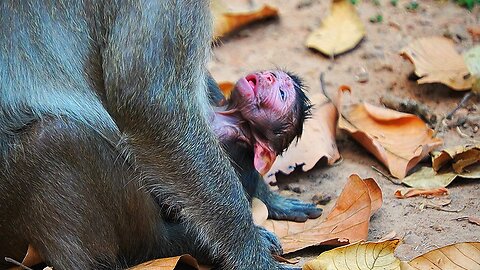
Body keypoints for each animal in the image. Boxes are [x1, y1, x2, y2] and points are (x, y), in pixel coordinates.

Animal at [0, 1, 290, 268]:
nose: (270, 81)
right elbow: (152, 106)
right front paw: (251, 255)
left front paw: (265, 195)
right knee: (57, 139)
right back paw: (172, 243)